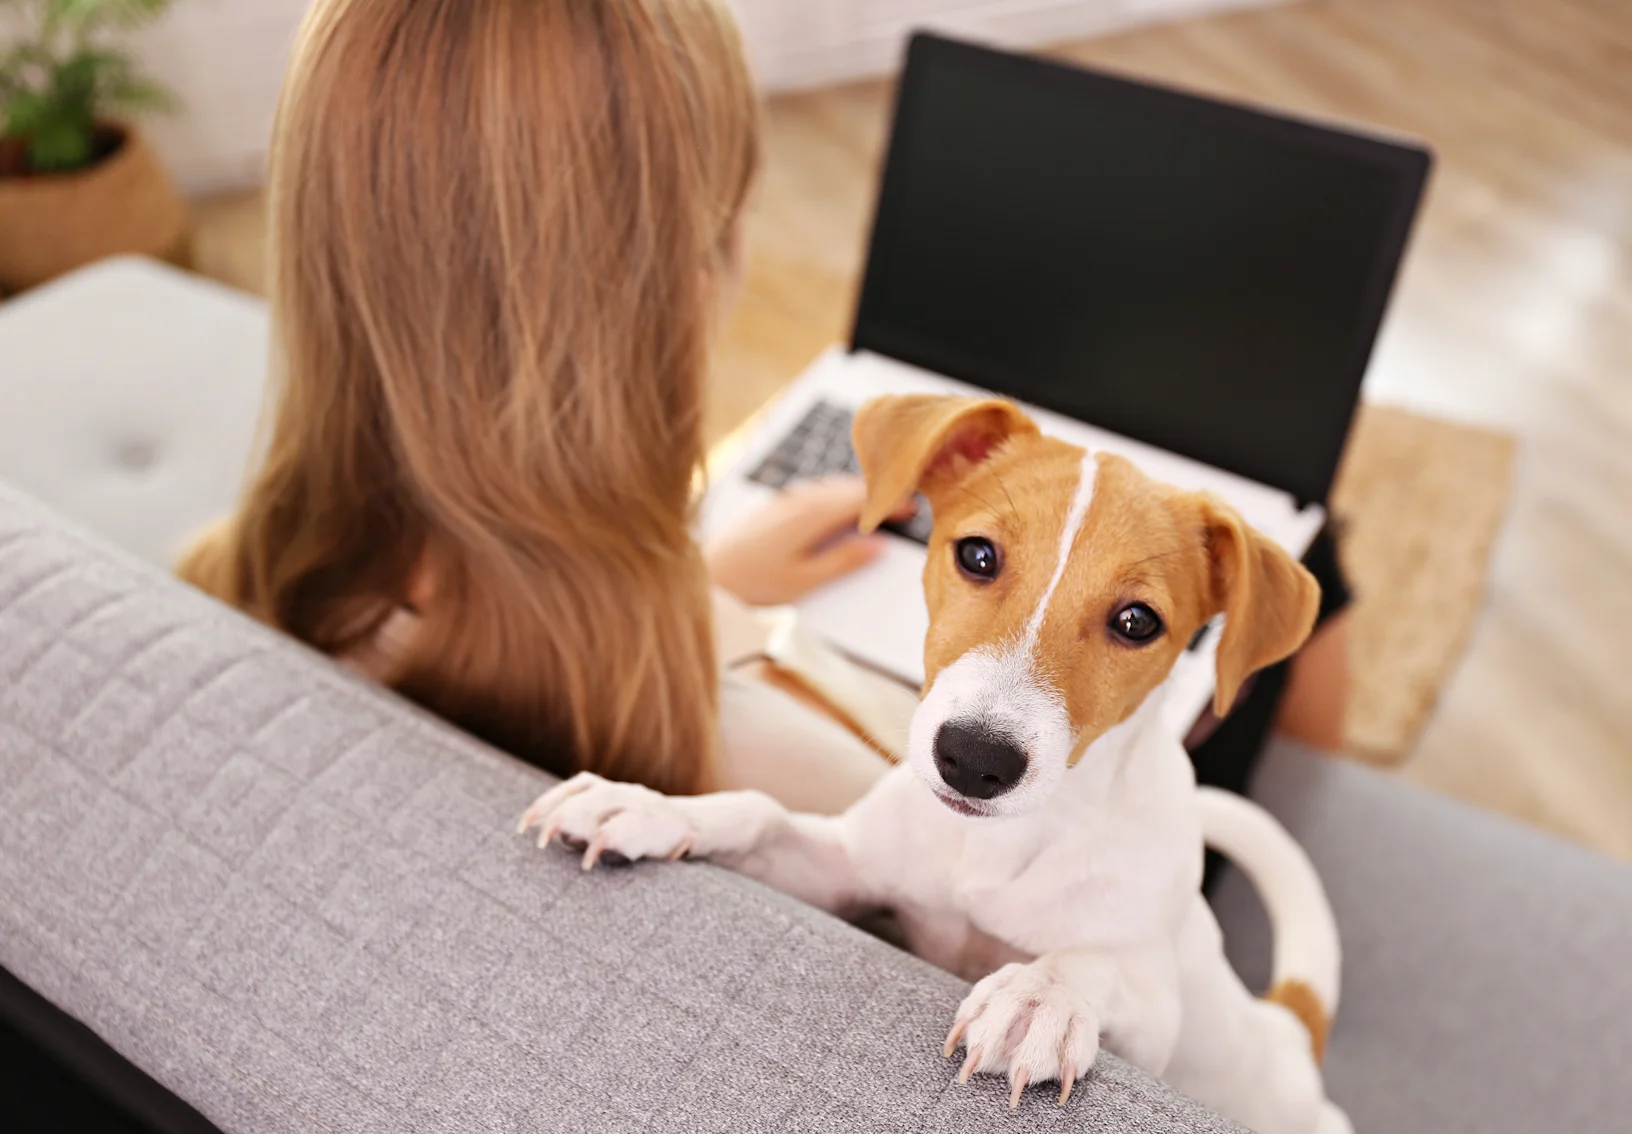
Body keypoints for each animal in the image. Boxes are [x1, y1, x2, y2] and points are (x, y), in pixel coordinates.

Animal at [522, 393, 1351, 1134]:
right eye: (977, 555)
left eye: (1137, 622)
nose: (975, 761)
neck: (996, 845)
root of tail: (1288, 1029)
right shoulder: (844, 872)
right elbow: (757, 812)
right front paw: (647, 806)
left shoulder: (1154, 1018)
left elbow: (1088, 960)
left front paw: (1038, 997)